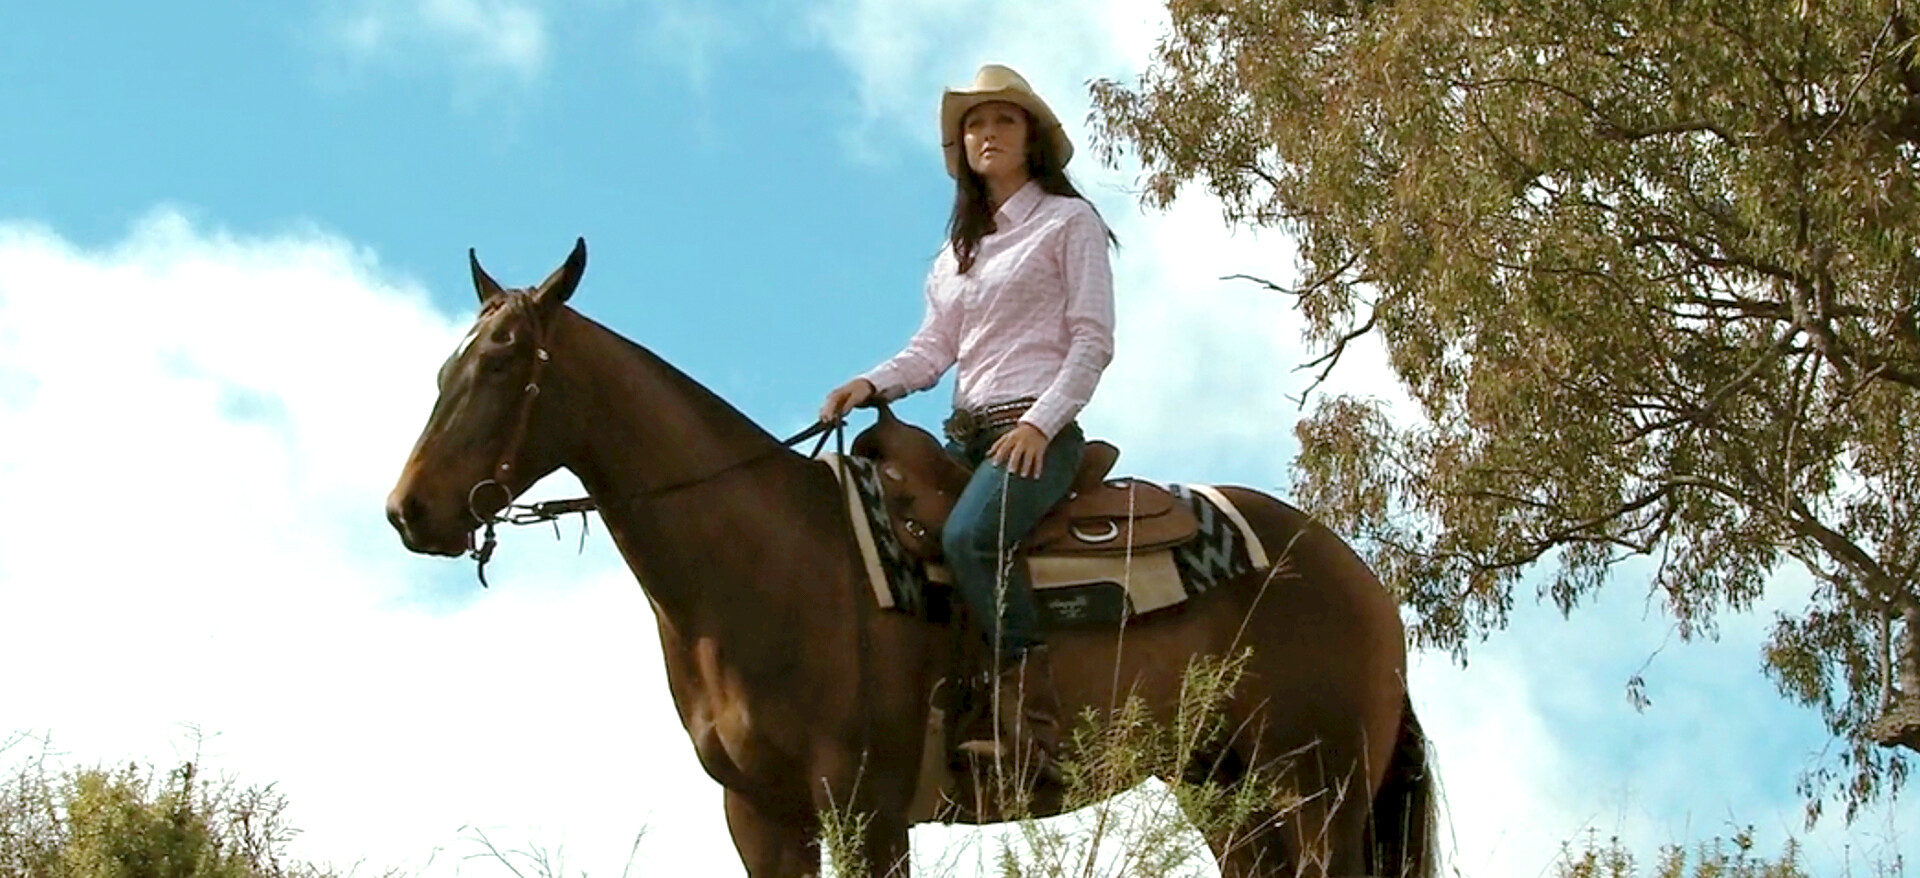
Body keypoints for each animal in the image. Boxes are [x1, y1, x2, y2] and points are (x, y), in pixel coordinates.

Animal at [384, 238, 1439, 878]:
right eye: (444, 367)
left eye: (503, 363)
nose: (409, 511)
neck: (767, 568)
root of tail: (1359, 578)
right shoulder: (761, 818)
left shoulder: (868, 810)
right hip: (1231, 796)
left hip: (1319, 795)